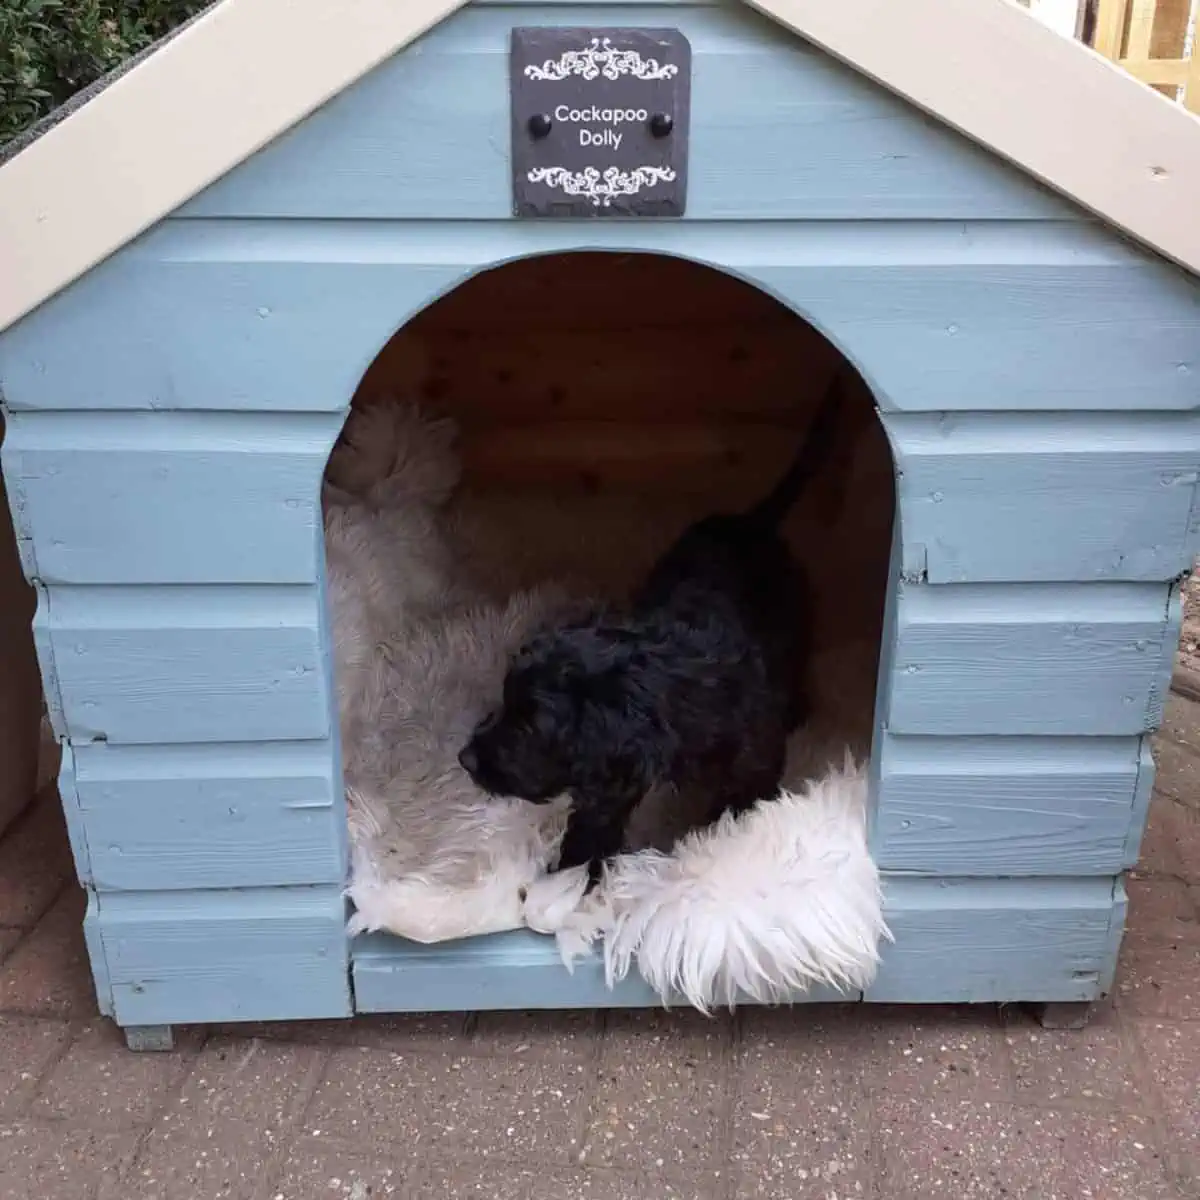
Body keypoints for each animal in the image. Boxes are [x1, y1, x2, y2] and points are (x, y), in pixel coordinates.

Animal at [458, 369, 854, 888]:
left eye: (530, 725)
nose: (465, 758)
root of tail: (749, 523)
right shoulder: (611, 778)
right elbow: (593, 828)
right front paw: (566, 885)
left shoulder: (751, 759)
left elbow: (740, 804)